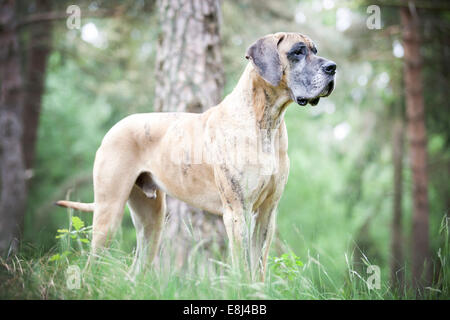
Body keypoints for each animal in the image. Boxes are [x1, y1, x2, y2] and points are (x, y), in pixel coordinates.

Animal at [57, 32, 334, 280]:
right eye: (297, 52)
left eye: (316, 50)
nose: (332, 67)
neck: (266, 122)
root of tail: (114, 127)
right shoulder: (237, 212)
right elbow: (243, 268)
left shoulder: (267, 212)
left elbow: (259, 268)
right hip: (109, 211)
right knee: (91, 265)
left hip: (152, 221)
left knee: (136, 270)